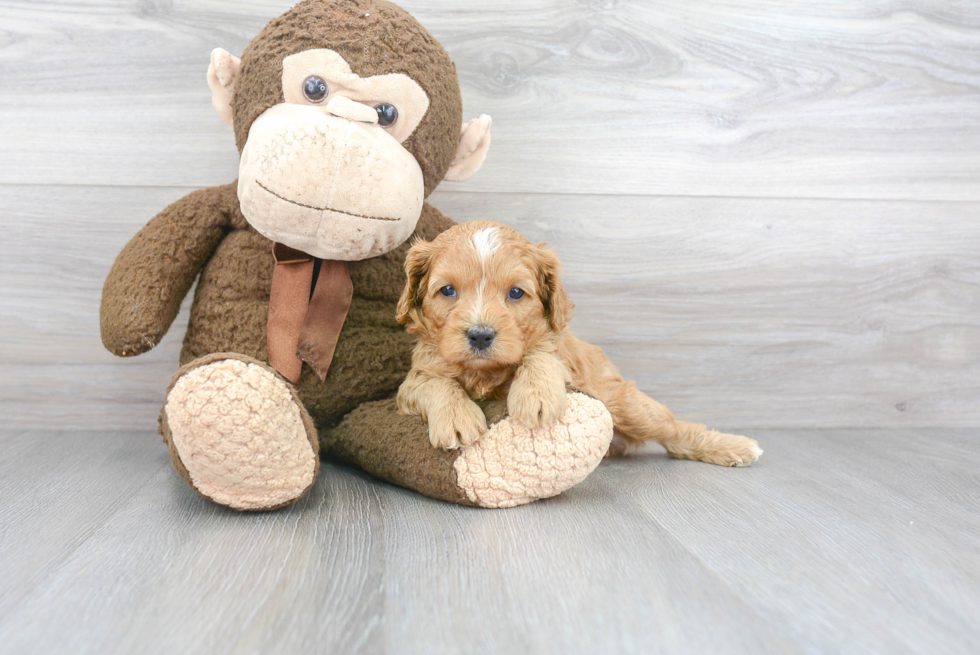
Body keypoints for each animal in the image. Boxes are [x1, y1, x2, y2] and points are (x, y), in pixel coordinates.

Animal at [394, 220, 760, 466]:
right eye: (447, 290)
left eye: (516, 293)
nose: (480, 335)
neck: (484, 373)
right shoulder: (413, 381)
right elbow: (435, 384)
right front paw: (456, 418)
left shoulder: (561, 353)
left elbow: (542, 353)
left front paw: (537, 396)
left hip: (624, 402)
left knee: (675, 430)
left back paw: (733, 446)